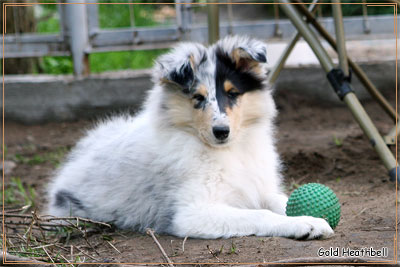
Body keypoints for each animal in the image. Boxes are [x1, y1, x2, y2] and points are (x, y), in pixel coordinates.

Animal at [47, 36, 334, 241]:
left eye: (233, 93)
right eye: (198, 98)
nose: (221, 131)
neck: (228, 150)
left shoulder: (256, 186)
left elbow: (281, 200)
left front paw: (310, 216)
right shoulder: (192, 212)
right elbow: (260, 215)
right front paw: (305, 223)